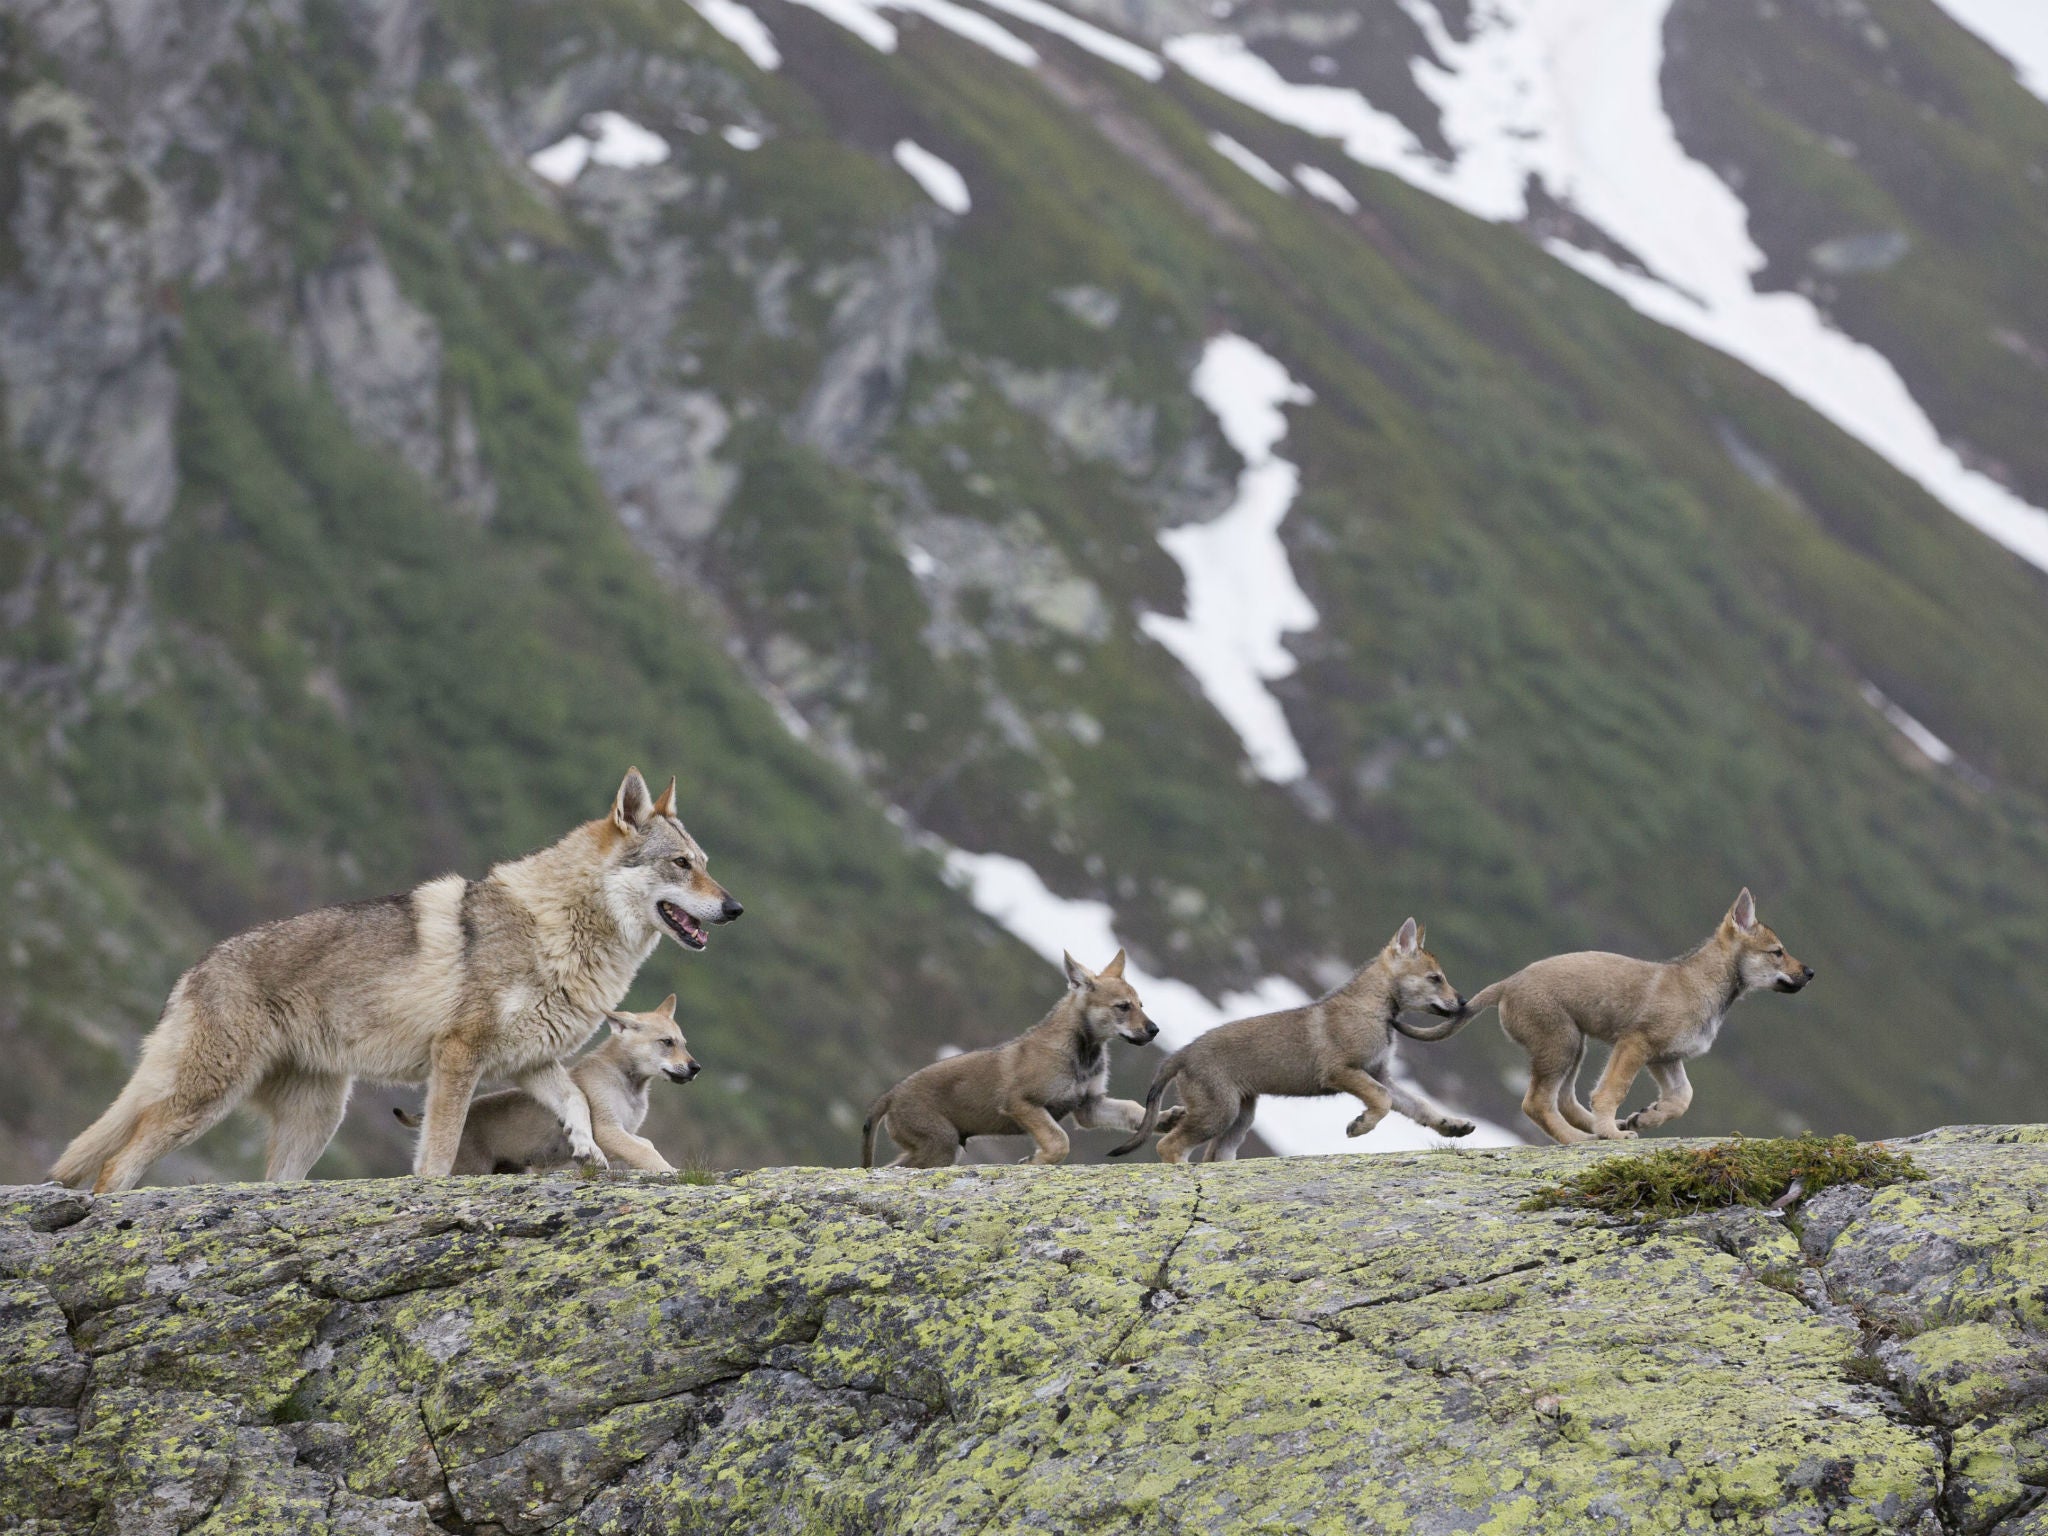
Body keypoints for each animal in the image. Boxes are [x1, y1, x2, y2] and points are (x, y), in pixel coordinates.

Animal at [49, 774, 745, 1196]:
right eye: (681, 864)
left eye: (707, 865)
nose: (735, 907)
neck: (557, 927)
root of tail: (193, 970)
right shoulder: (459, 1057)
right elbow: (437, 1153)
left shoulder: (533, 1062)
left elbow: (576, 1103)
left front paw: (586, 1149)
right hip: (206, 1101)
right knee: (113, 1165)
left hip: (314, 1123)